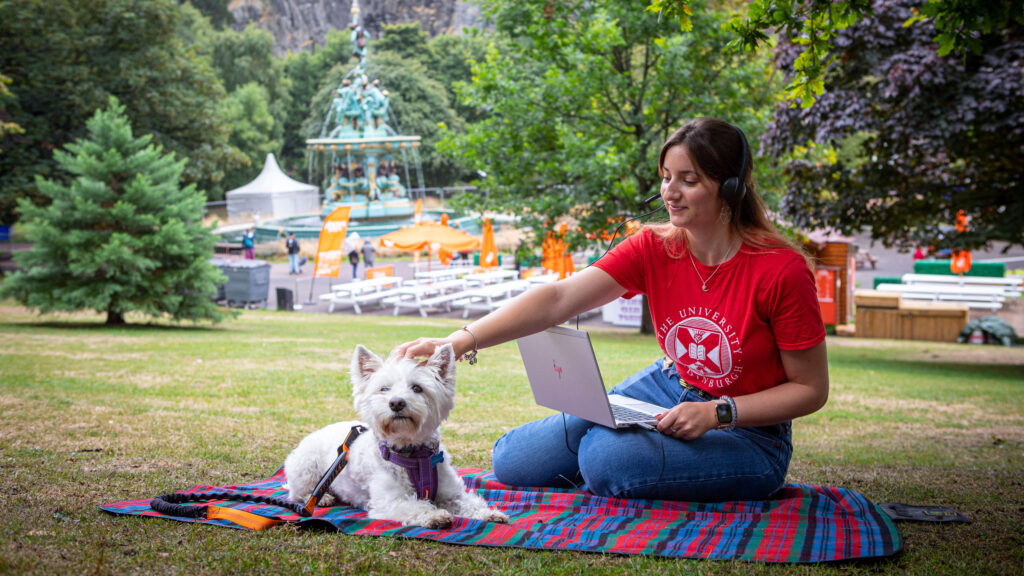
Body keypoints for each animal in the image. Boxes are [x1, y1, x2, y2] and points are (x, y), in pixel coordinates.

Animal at [282, 342, 509, 528]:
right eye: (384, 389)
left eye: (417, 388)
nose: (396, 402)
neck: (415, 455)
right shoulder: (390, 501)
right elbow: (415, 506)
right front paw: (434, 515)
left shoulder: (450, 492)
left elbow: (467, 501)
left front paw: (489, 513)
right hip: (306, 468)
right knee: (299, 492)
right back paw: (324, 498)